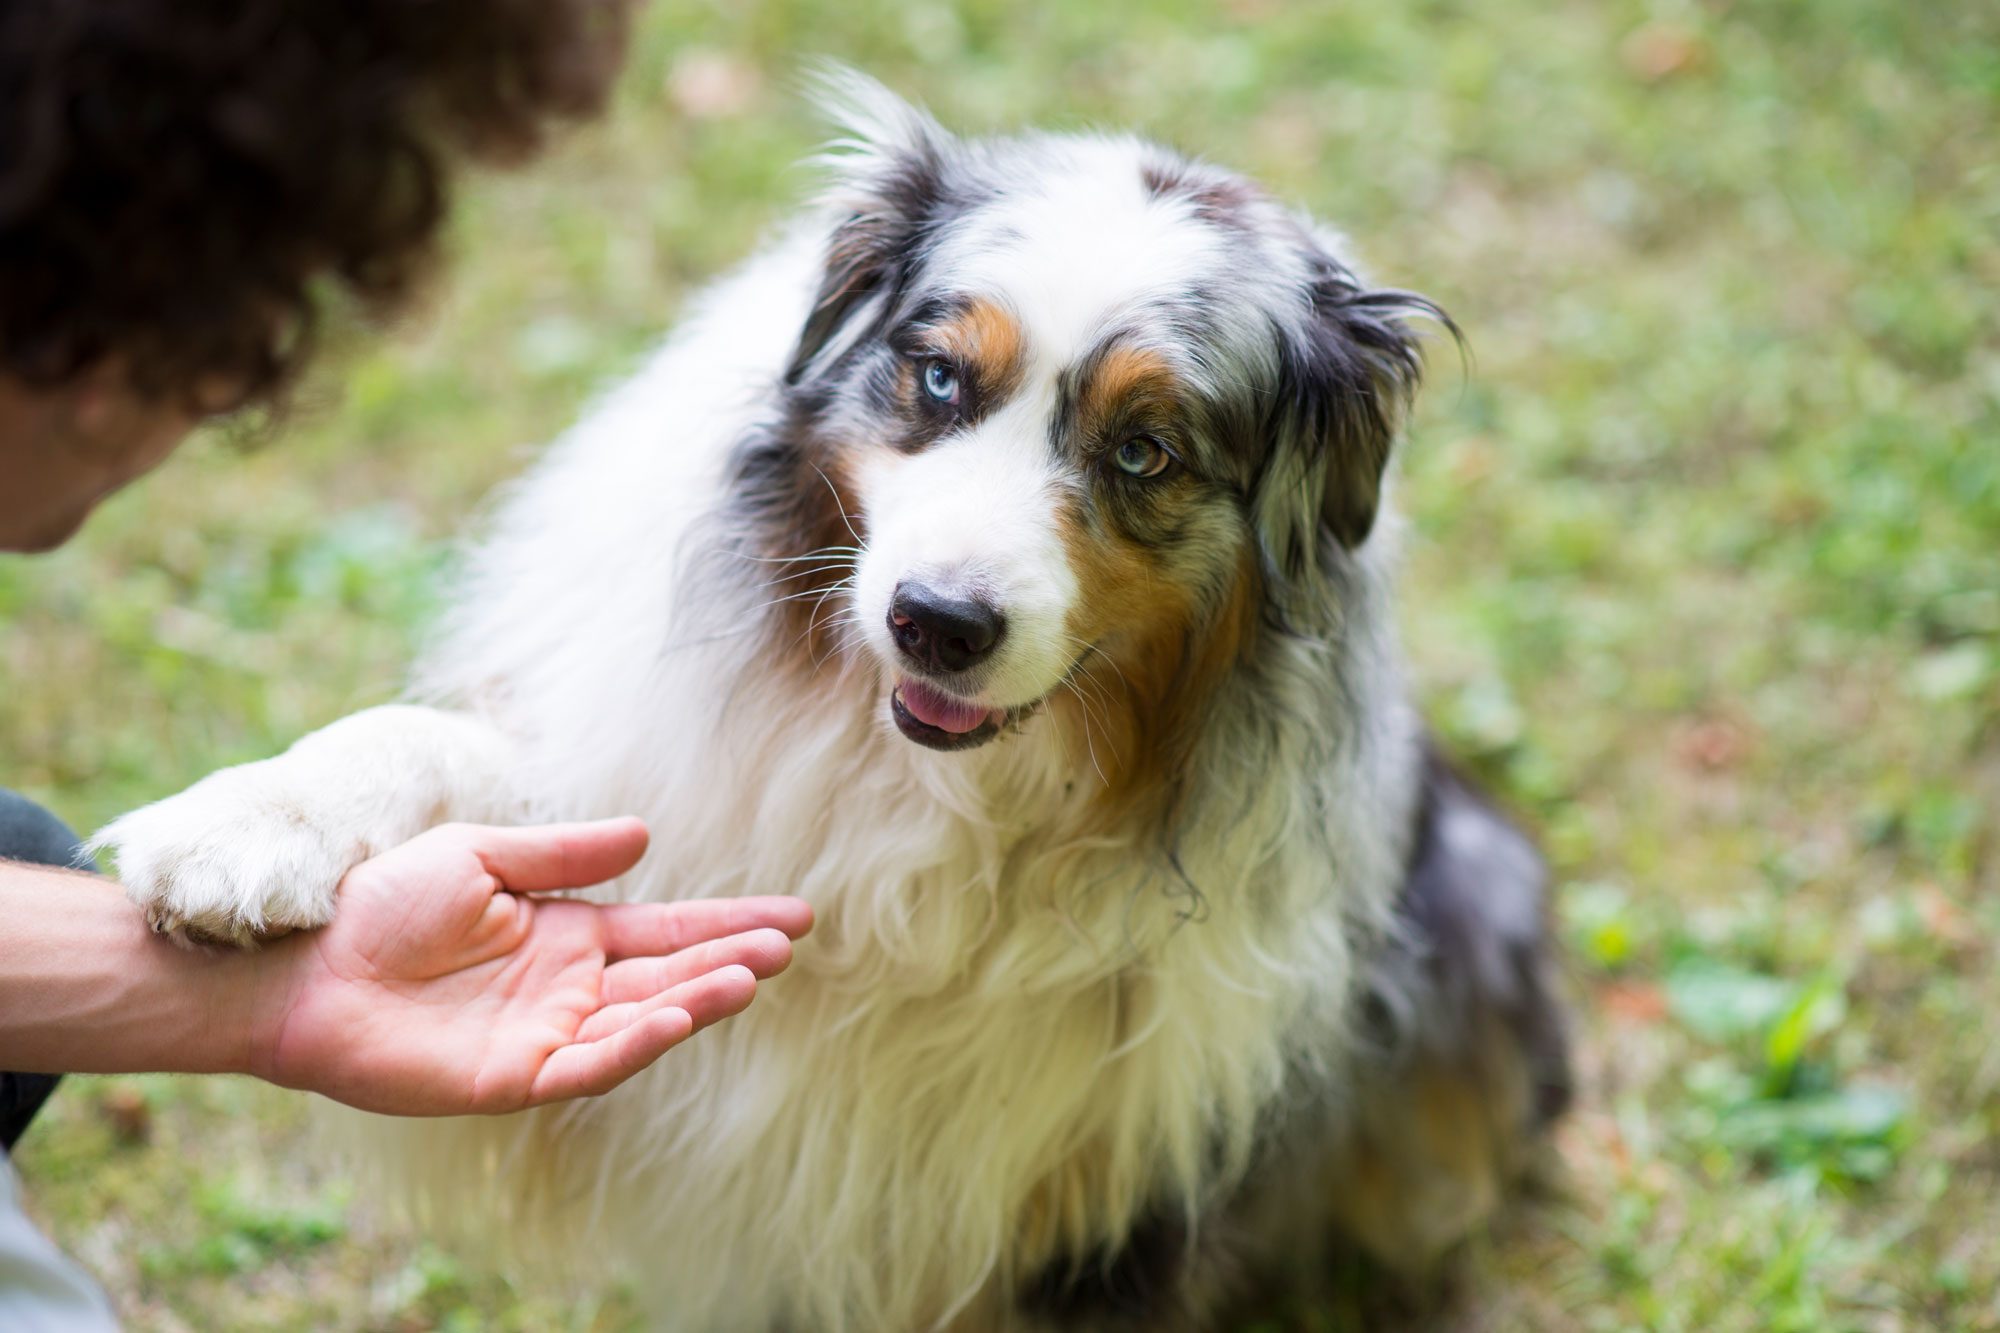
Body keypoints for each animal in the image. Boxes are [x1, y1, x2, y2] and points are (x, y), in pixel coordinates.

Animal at [97, 75, 1576, 1328]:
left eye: (1144, 450)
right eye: (939, 377)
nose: (937, 623)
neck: (922, 784)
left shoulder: (1114, 1202)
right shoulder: (670, 798)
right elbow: (427, 746)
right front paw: (246, 829)